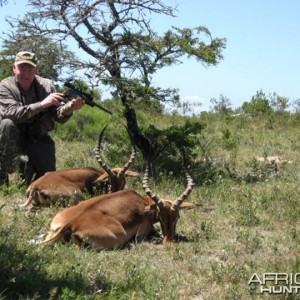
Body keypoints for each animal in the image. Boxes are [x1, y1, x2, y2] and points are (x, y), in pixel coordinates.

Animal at [43, 156, 196, 250]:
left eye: (177, 217)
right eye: (161, 217)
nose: (169, 241)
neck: (141, 200)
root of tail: (72, 223)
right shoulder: (143, 232)